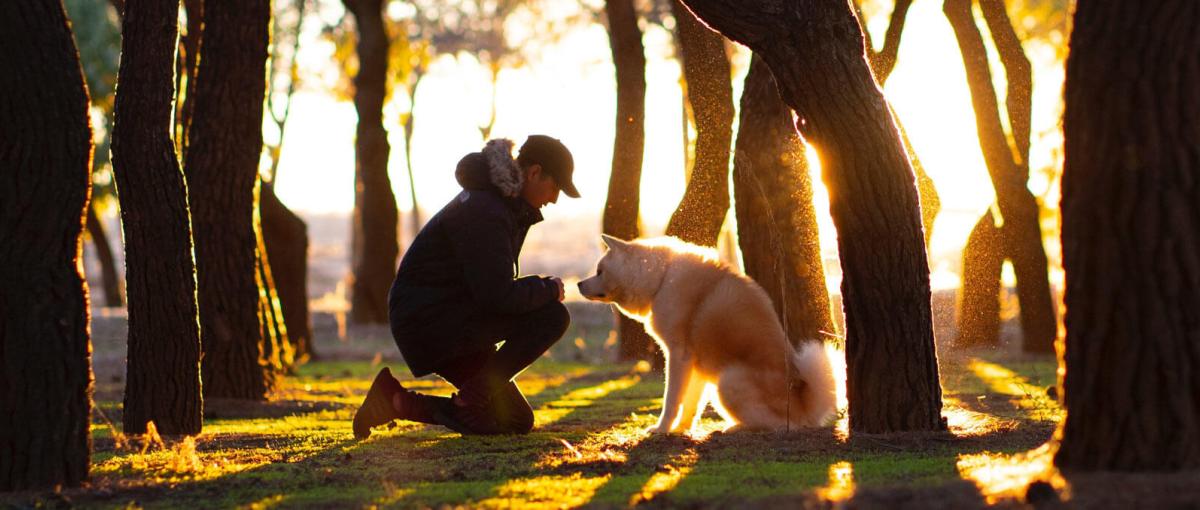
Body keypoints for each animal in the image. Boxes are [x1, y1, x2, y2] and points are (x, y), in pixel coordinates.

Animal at [578, 235, 840, 434]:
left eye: (599, 271)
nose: (579, 284)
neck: (662, 277)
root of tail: (802, 405)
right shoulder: (696, 364)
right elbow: (691, 404)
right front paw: (681, 429)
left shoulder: (678, 356)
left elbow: (671, 400)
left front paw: (662, 429)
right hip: (718, 384)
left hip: (727, 382)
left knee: (780, 425)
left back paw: (737, 427)